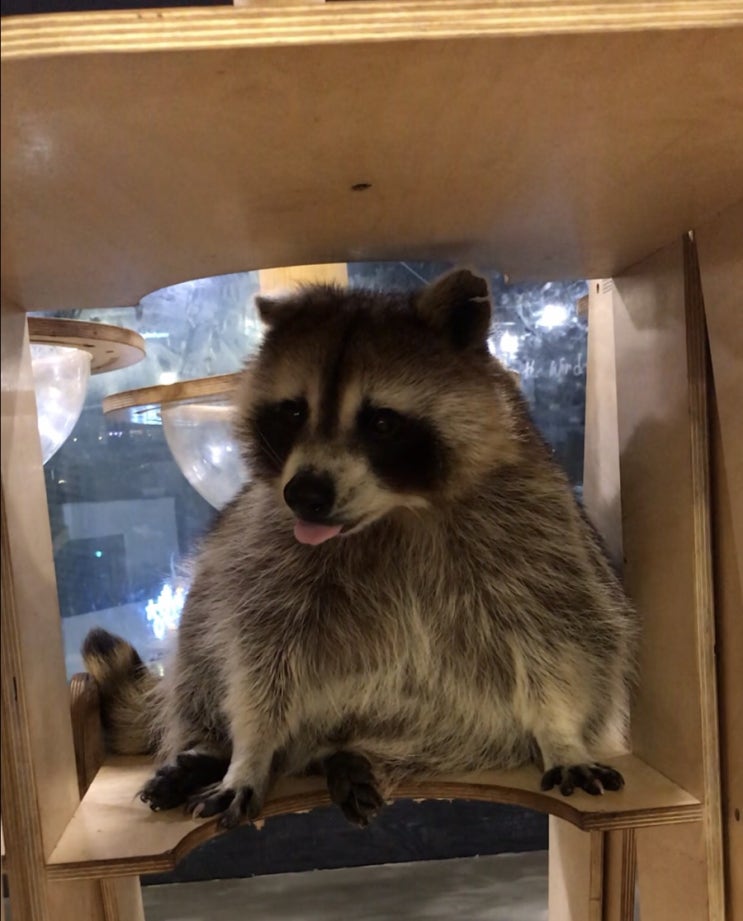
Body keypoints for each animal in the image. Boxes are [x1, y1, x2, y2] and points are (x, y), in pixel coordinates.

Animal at [84, 268, 638, 830]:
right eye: (293, 411)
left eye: (381, 422)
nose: (304, 495)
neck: (395, 513)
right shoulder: (265, 556)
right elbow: (257, 659)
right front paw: (248, 752)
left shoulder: (539, 534)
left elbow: (558, 639)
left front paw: (560, 732)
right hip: (222, 574)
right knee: (201, 633)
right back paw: (213, 748)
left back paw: (348, 759)